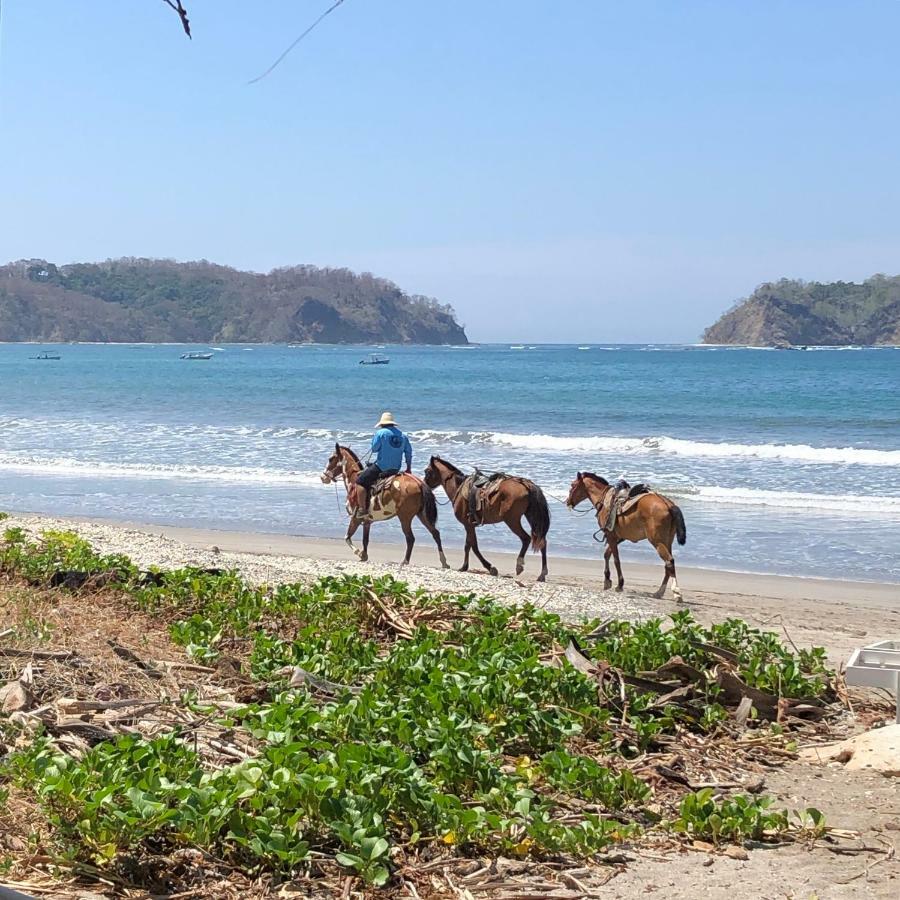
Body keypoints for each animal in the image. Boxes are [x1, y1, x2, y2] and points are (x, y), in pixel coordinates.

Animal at [420, 458, 548, 584]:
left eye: (427, 471)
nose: (424, 484)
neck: (458, 487)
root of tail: (528, 485)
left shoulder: (468, 525)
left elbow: (473, 547)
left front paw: (489, 567)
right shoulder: (469, 525)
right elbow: (468, 545)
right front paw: (465, 566)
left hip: (512, 520)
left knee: (526, 538)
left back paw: (519, 565)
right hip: (531, 517)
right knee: (542, 541)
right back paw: (542, 574)